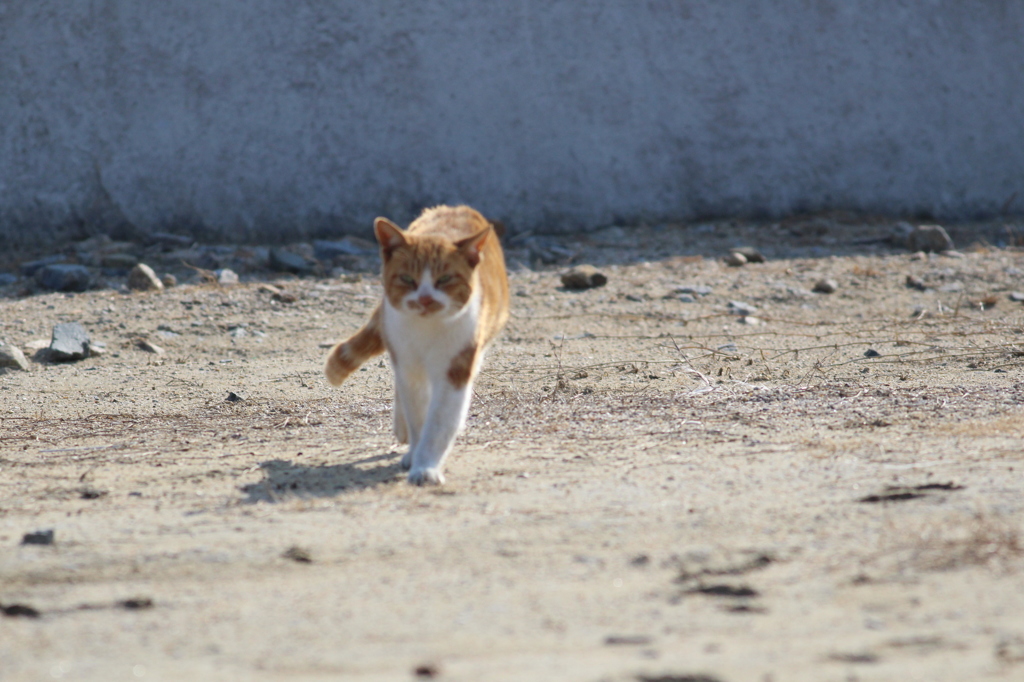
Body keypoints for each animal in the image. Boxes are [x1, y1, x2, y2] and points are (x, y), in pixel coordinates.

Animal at [323, 202, 507, 483]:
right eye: (408, 279)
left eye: (444, 279)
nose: (425, 299)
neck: (426, 330)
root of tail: (457, 207)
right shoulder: (409, 366)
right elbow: (417, 415)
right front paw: (416, 454)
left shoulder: (456, 368)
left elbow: (439, 422)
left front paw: (425, 466)